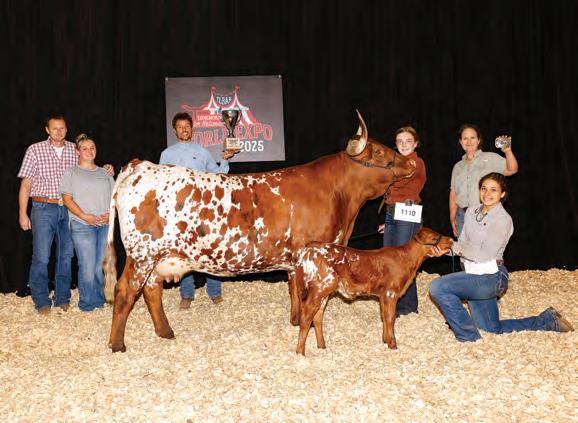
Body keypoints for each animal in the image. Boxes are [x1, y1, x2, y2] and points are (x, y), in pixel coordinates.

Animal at [103, 111, 416, 352]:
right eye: (379, 151)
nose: (411, 162)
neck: (341, 198)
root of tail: (141, 166)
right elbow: (308, 299)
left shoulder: (296, 259)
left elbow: (293, 289)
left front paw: (294, 319)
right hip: (142, 255)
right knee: (125, 291)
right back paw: (117, 344)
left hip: (157, 258)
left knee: (151, 290)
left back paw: (165, 332)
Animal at [294, 227, 454, 355]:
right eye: (434, 238)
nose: (451, 240)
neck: (407, 260)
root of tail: (311, 247)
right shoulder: (390, 293)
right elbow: (390, 318)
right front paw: (393, 345)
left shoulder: (383, 295)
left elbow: (384, 316)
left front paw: (385, 340)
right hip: (319, 289)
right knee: (306, 316)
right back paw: (300, 352)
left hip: (324, 292)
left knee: (317, 316)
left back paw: (321, 346)